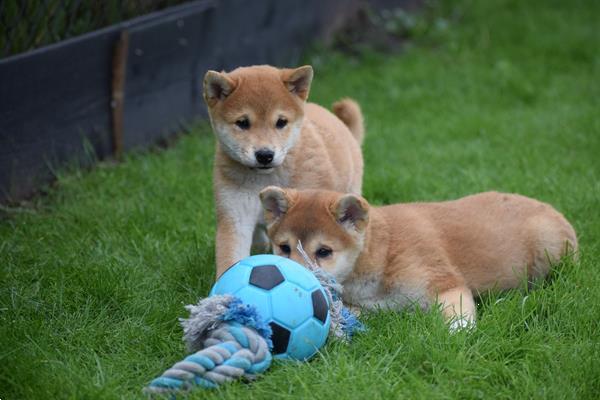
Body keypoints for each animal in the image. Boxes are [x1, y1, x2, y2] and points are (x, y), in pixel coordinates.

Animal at [202, 65, 364, 278]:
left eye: (281, 122)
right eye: (242, 122)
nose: (265, 155)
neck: (264, 180)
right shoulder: (235, 214)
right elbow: (231, 257)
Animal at [258, 189, 576, 330]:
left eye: (323, 252)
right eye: (284, 247)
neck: (383, 253)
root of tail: (550, 208)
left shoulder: (446, 284)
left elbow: (458, 322)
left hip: (549, 249)